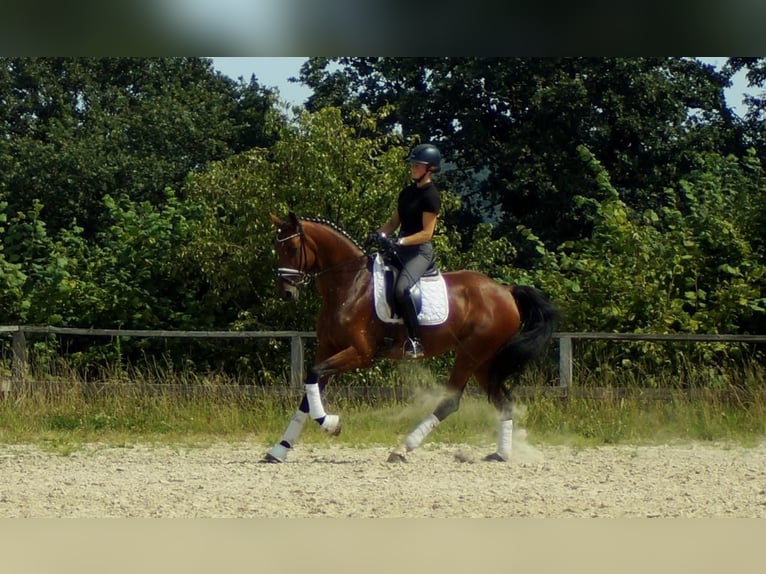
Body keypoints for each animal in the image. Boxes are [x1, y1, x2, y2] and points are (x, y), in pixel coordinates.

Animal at [264, 214, 560, 466]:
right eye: (277, 249)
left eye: (292, 249)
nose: (286, 293)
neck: (350, 284)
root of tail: (506, 290)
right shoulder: (329, 347)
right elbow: (309, 390)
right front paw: (279, 450)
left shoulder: (360, 353)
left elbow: (314, 374)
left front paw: (332, 424)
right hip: (483, 361)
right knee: (502, 400)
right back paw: (501, 454)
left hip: (471, 354)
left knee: (451, 401)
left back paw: (402, 449)